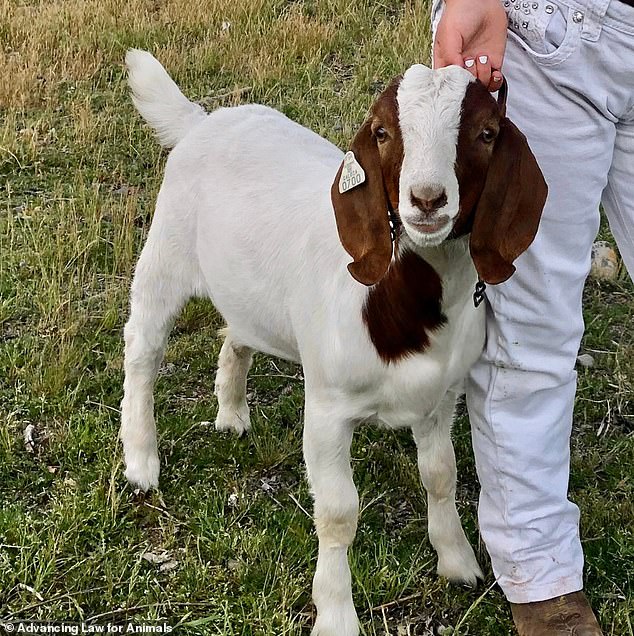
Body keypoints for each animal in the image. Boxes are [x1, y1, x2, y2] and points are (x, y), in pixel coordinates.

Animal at [121, 51, 544, 636]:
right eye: (383, 132)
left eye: (485, 132)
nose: (427, 201)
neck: (402, 301)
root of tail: (202, 121)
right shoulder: (327, 409)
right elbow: (339, 512)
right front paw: (337, 614)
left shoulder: (442, 399)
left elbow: (441, 475)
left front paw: (457, 561)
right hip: (166, 252)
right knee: (143, 349)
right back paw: (141, 462)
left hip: (249, 292)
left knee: (237, 334)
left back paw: (231, 413)